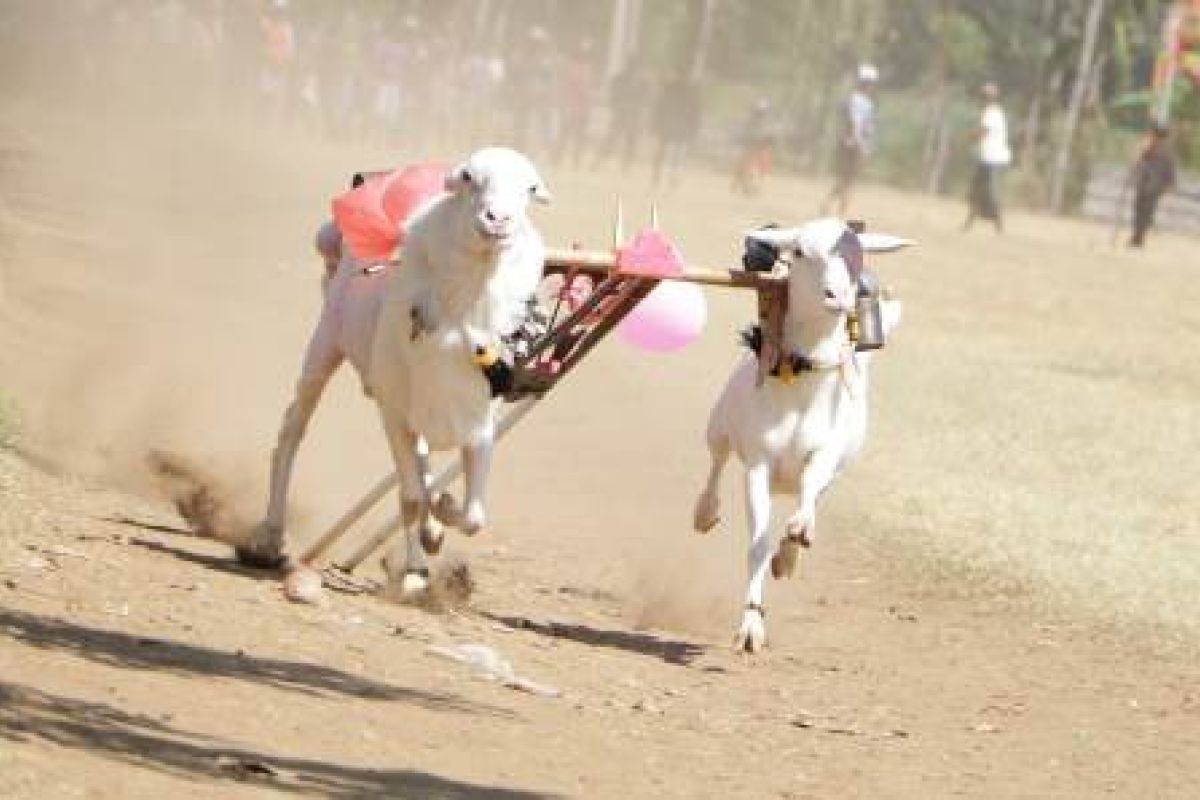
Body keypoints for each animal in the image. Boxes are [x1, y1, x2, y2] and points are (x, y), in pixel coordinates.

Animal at [369, 146, 549, 594]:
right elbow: (410, 498)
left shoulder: (479, 429)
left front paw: (446, 512)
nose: (497, 220)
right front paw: (414, 570)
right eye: (468, 176)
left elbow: (474, 518)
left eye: (531, 188)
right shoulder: (394, 414)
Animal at [696, 217, 907, 652]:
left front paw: (795, 539)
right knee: (716, 461)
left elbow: (808, 499)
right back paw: (705, 513)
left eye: (858, 254)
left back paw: (789, 554)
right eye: (799, 251)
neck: (801, 377)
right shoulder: (758, 464)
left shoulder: (825, 457)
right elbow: (756, 545)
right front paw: (751, 627)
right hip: (719, 424)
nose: (838, 296)